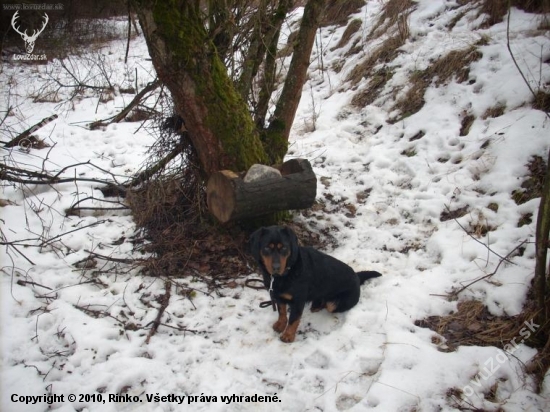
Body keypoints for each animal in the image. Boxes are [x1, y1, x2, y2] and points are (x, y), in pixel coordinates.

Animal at [251, 225, 384, 342]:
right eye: (267, 248)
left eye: (284, 248)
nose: (276, 267)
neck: (287, 272)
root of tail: (357, 276)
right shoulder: (278, 296)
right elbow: (282, 312)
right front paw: (280, 325)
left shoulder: (298, 301)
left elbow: (293, 319)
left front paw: (288, 336)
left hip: (334, 304)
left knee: (329, 305)